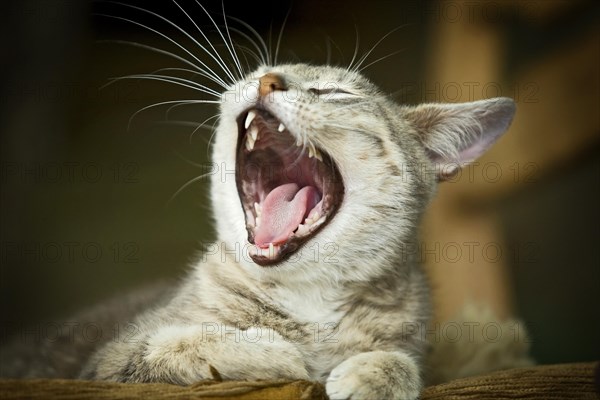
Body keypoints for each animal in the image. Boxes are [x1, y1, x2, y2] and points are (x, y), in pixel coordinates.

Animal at [0, 6, 516, 400]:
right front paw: (273, 352)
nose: (268, 80)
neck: (307, 298)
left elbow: (406, 360)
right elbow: (176, 345)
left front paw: (376, 374)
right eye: (260, 70)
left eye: (334, 91)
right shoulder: (104, 365)